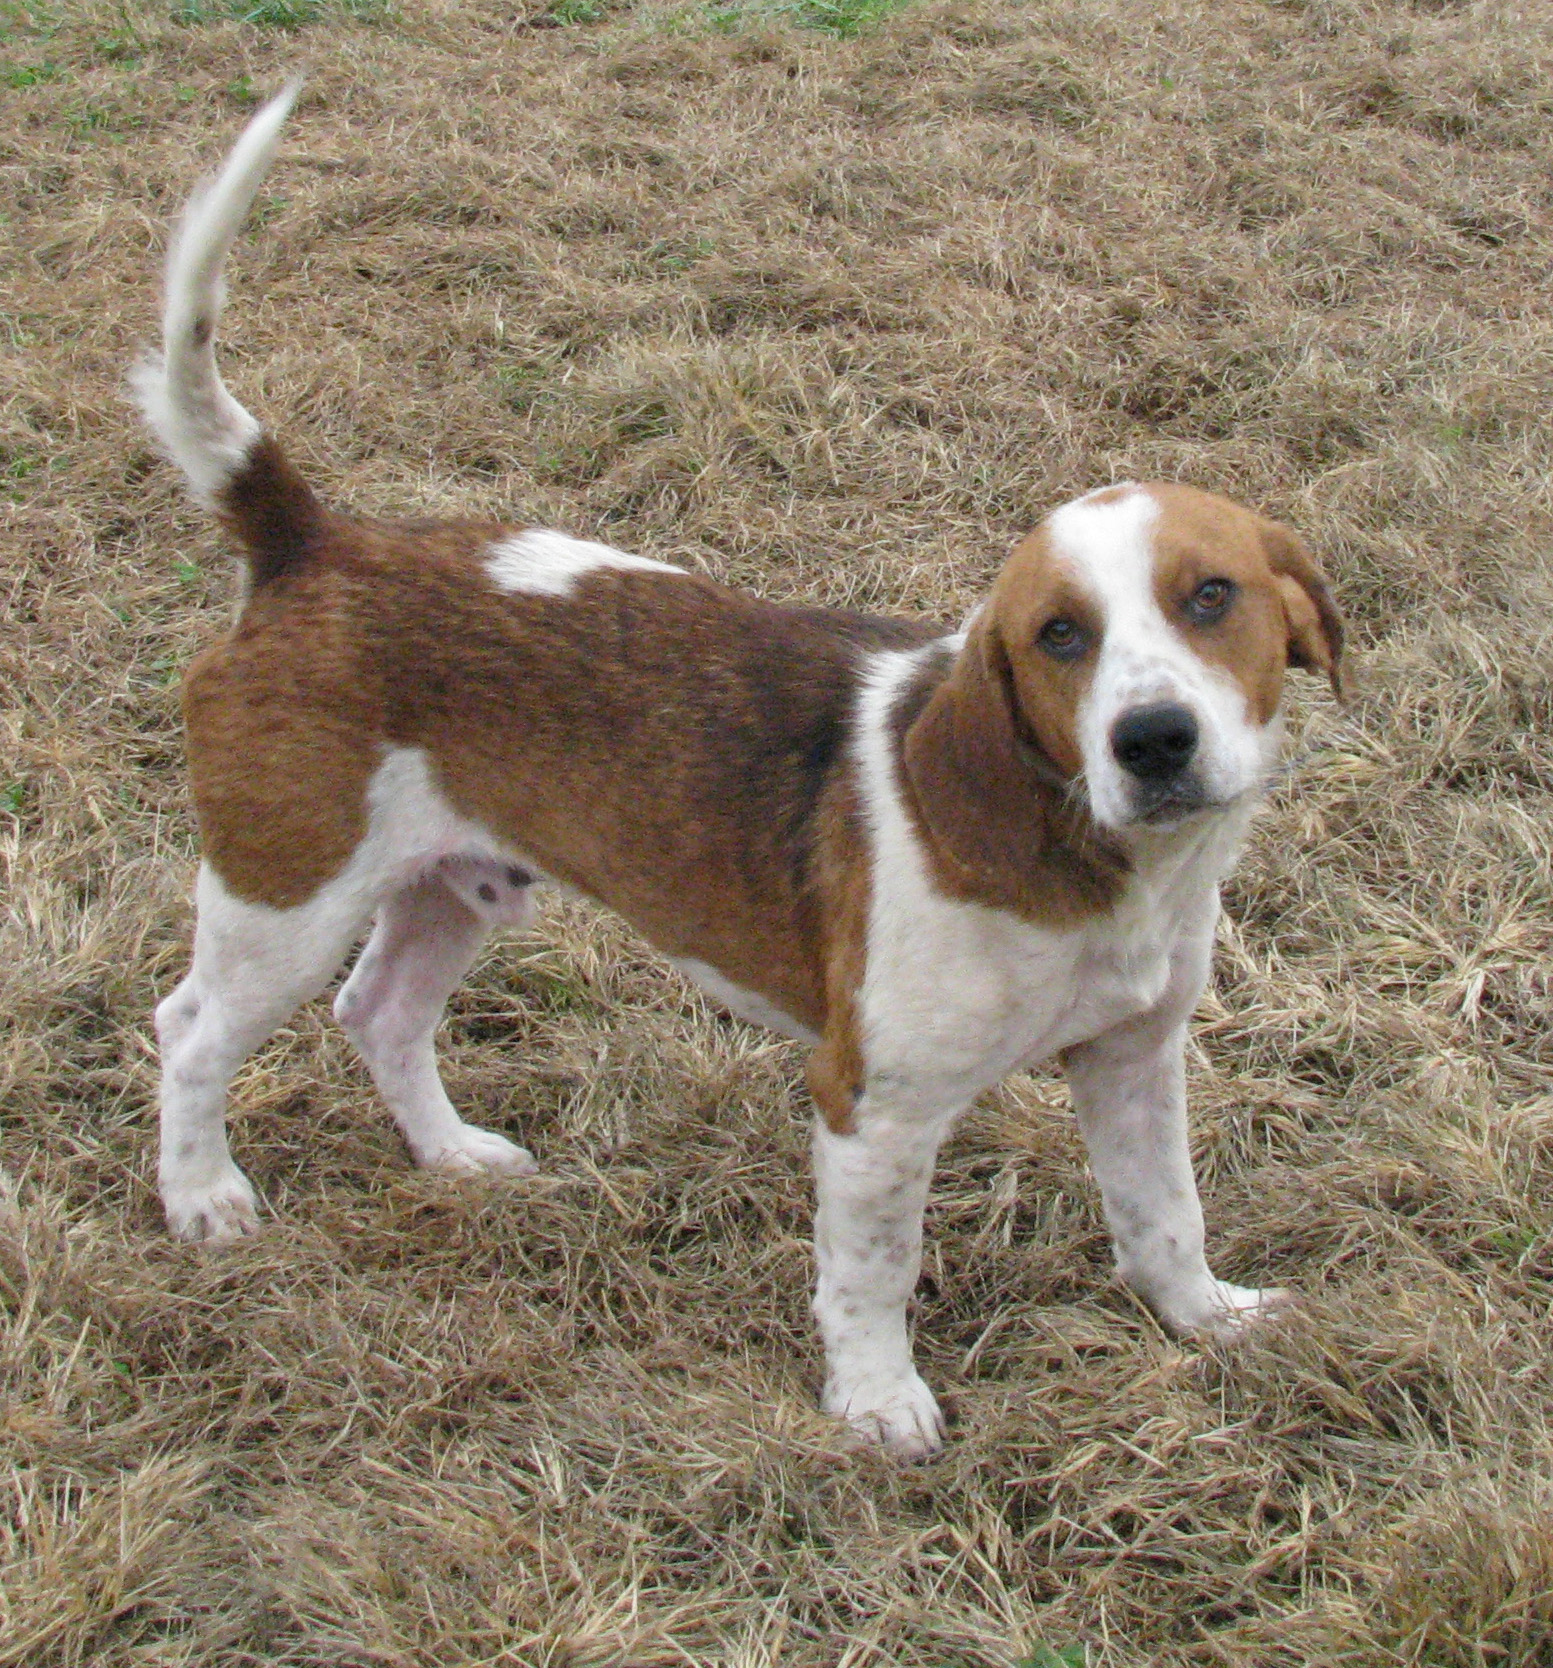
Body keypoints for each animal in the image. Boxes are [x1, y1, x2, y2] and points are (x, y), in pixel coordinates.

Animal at [133, 84, 1341, 1454]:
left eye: (1211, 597)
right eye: (1057, 636)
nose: (1151, 741)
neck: (1092, 862)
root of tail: (312, 543)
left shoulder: (1134, 1058)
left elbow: (1162, 1218)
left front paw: (1207, 1323)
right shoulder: (870, 1107)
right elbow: (869, 1275)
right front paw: (876, 1407)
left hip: (452, 883)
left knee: (378, 1013)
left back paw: (451, 1157)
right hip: (282, 899)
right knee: (189, 1033)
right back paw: (203, 1198)